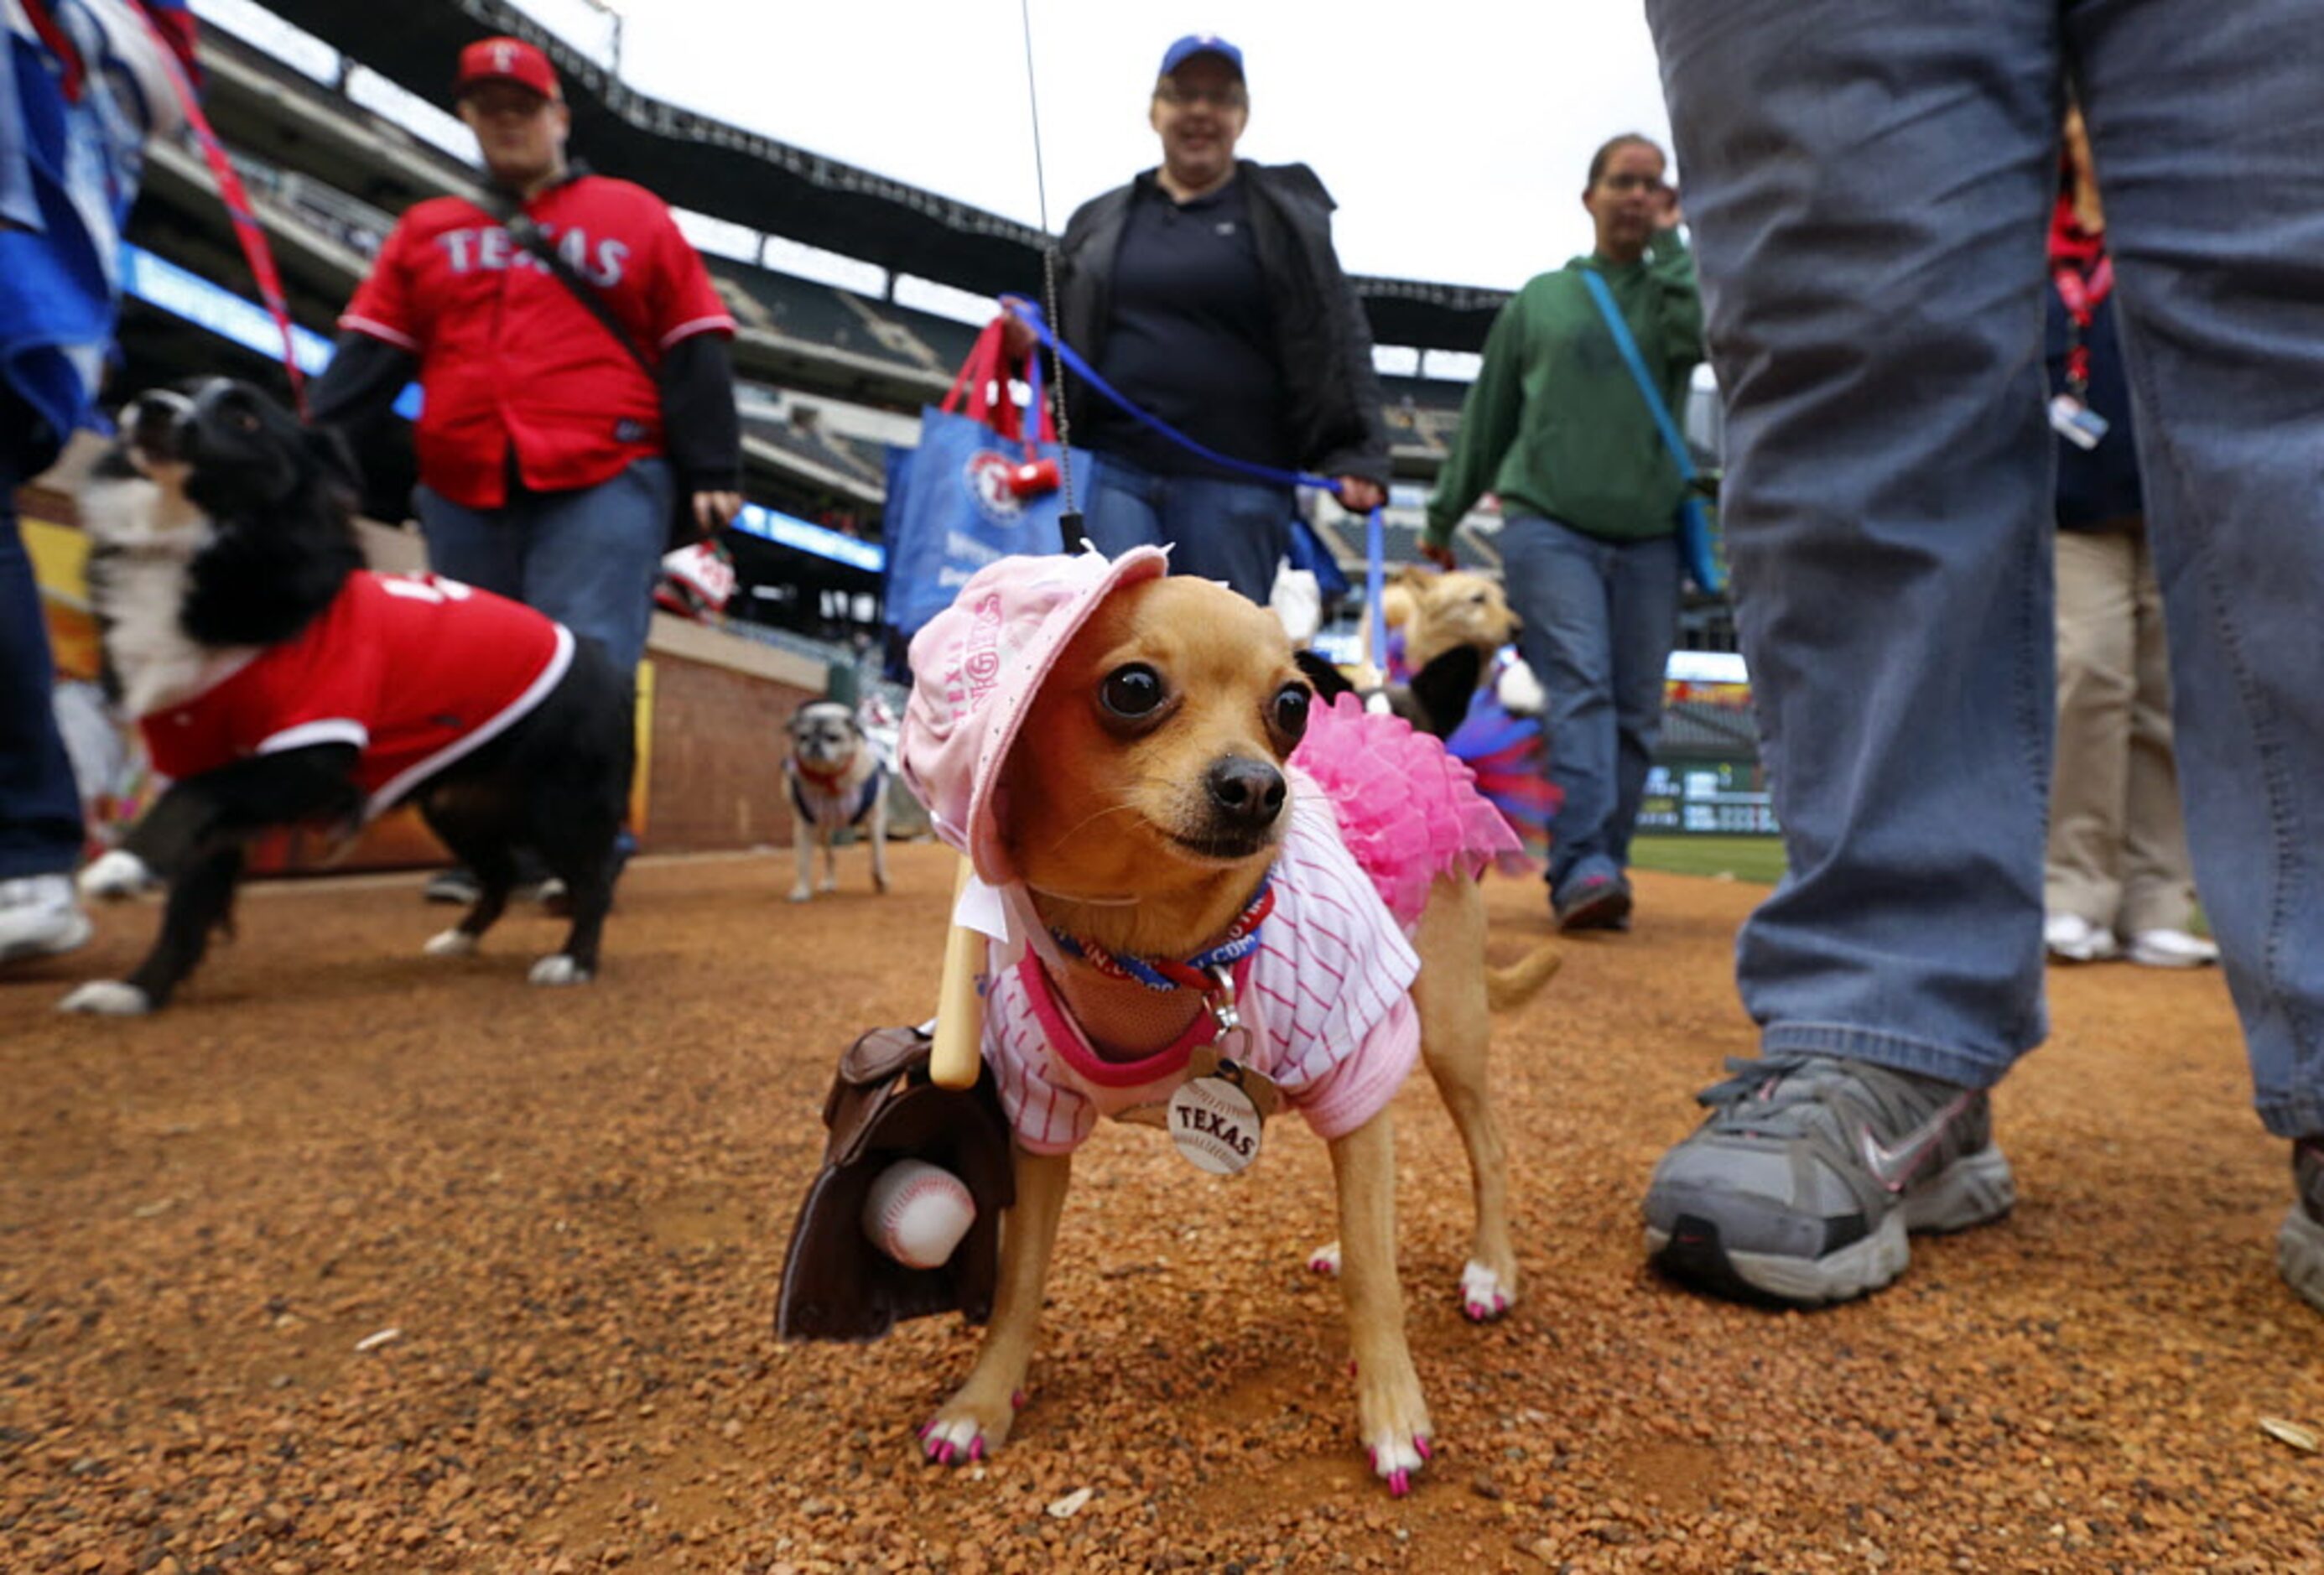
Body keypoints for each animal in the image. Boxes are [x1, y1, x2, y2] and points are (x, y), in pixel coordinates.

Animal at [65, 383, 627, 1021]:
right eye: (182, 389)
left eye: (245, 418)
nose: (151, 404)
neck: (199, 540)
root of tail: (602, 659)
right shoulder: (211, 762)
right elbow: (188, 906)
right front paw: (136, 991)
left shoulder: (312, 754)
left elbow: (192, 798)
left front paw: (122, 866)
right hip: (460, 806)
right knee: (501, 873)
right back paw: (462, 939)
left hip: (561, 807)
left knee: (594, 880)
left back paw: (574, 961)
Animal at [785, 701, 882, 906]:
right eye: (803, 737)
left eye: (833, 738)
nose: (814, 744)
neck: (828, 778)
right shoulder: (804, 828)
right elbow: (802, 862)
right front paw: (801, 890)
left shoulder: (874, 821)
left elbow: (877, 856)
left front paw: (881, 880)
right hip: (824, 834)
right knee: (830, 858)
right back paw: (829, 882)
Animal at [915, 575, 1552, 1495]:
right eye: (1132, 688)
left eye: (1291, 705)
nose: (1258, 787)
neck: (1154, 946)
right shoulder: (1037, 1122)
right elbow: (1018, 1280)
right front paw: (982, 1401)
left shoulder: (1356, 1051)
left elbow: (1376, 1280)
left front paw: (1392, 1415)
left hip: (1446, 1025)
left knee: (1483, 1152)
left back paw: (1489, 1271)